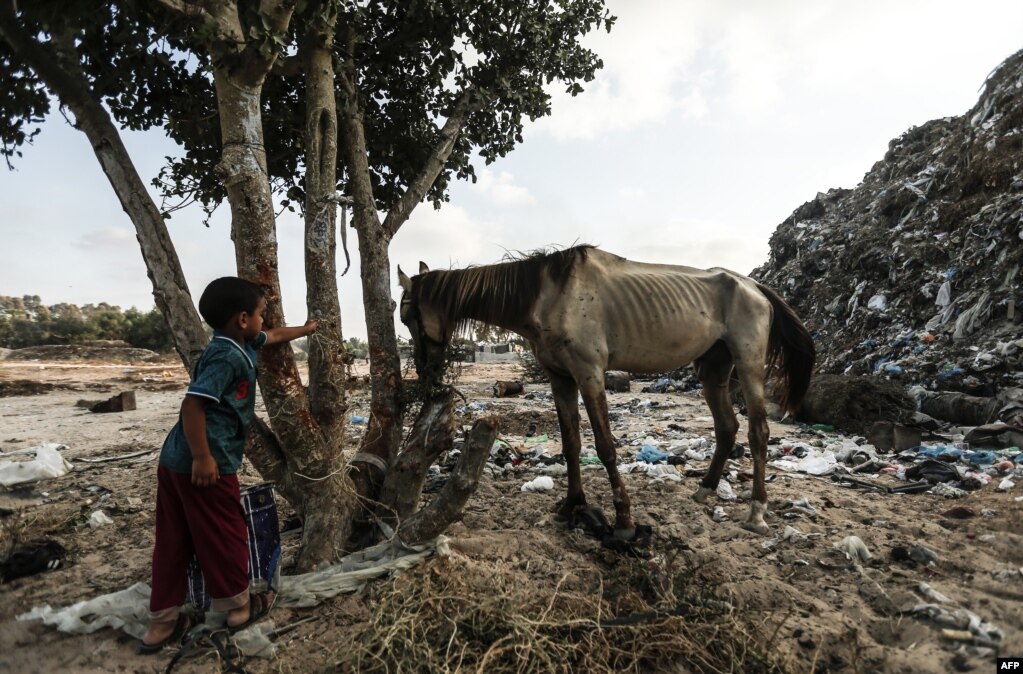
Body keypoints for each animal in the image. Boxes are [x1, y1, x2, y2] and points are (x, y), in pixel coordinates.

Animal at [394, 246, 810, 535]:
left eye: (408, 314)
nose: (426, 372)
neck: (547, 295)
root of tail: (755, 286)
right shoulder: (560, 378)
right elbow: (571, 445)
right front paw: (572, 506)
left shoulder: (590, 374)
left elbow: (606, 446)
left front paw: (623, 518)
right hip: (714, 370)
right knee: (727, 428)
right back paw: (706, 489)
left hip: (748, 364)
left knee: (758, 432)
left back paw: (757, 511)